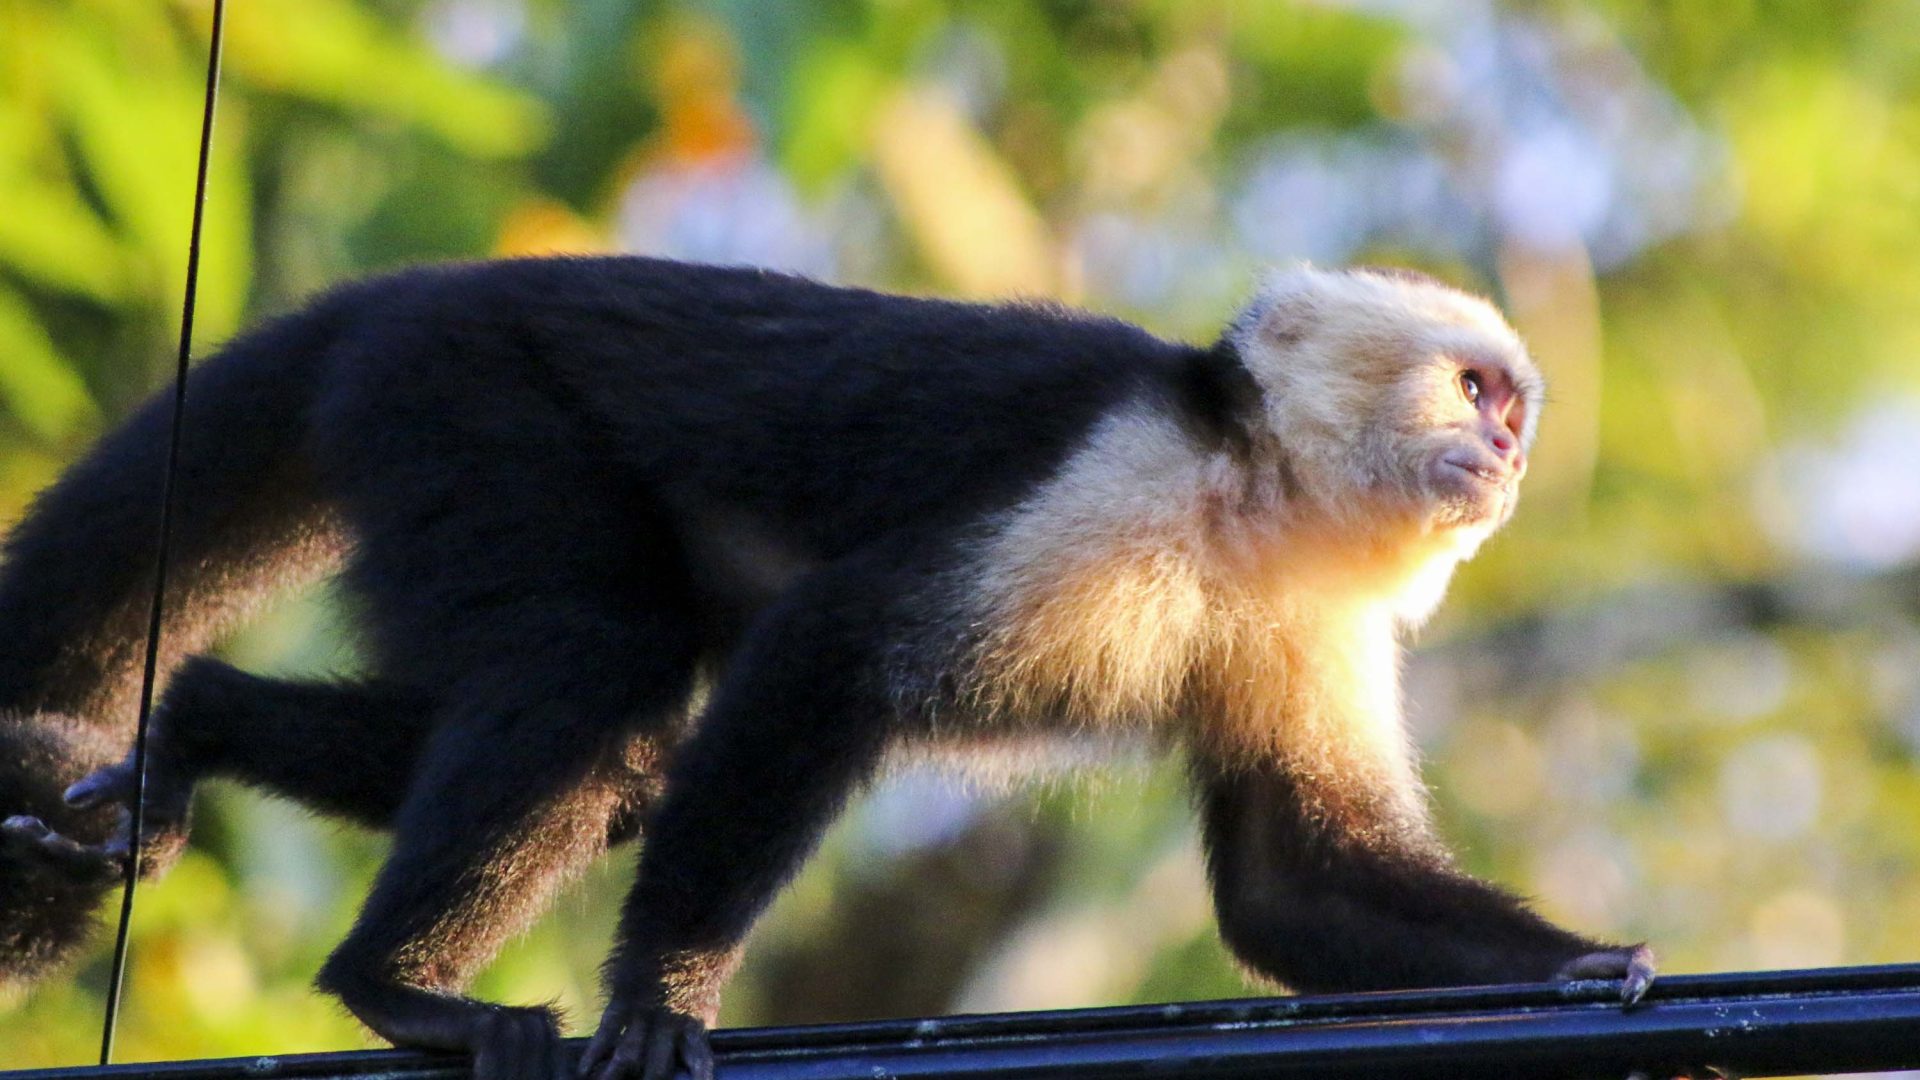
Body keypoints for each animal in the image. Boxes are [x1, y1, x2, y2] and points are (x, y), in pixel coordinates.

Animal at [0, 259, 1651, 1076]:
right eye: (1476, 389)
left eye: (1514, 406)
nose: (1513, 454)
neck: (1253, 494)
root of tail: (406, 290)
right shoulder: (1107, 479)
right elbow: (830, 655)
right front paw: (662, 998)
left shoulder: (1313, 619)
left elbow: (1288, 879)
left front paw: (1586, 970)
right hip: (456, 397)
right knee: (598, 672)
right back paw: (399, 989)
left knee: (614, 754)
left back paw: (194, 731)